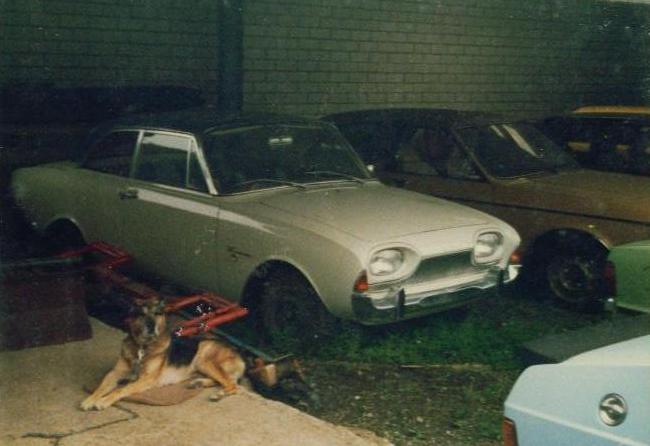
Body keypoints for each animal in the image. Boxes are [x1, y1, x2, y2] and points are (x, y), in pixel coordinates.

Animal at [80, 297, 245, 411]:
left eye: (157, 313)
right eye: (142, 314)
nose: (151, 326)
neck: (143, 346)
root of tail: (240, 354)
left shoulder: (146, 379)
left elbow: (121, 389)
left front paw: (103, 401)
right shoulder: (116, 372)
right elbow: (101, 386)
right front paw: (90, 399)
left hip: (204, 355)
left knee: (233, 385)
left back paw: (218, 394)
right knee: (226, 381)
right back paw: (198, 383)